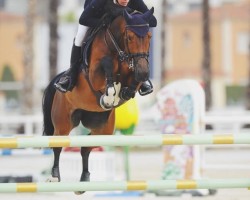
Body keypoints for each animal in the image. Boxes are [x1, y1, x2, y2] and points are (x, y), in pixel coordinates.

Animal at [42, 8, 153, 195]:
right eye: (130, 37)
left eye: (150, 37)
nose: (144, 72)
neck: (118, 48)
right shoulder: (95, 73)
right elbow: (107, 64)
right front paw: (109, 95)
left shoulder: (134, 69)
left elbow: (131, 83)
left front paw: (120, 93)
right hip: (63, 122)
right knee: (58, 144)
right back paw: (54, 177)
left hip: (103, 129)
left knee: (86, 146)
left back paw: (83, 182)